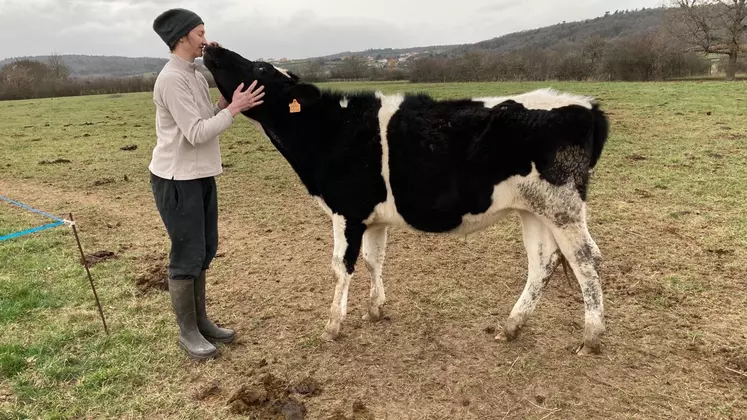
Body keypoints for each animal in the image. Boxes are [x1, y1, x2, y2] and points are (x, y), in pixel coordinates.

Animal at [202, 45, 612, 354]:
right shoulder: (372, 217)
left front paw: (333, 325)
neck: (332, 130)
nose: (211, 46)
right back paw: (512, 326)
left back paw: (591, 337)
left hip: (562, 209)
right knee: (542, 263)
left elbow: (342, 266)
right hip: (533, 210)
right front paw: (375, 309)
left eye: (258, 67)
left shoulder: (346, 212)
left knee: (585, 260)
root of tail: (586, 106)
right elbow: (374, 259)